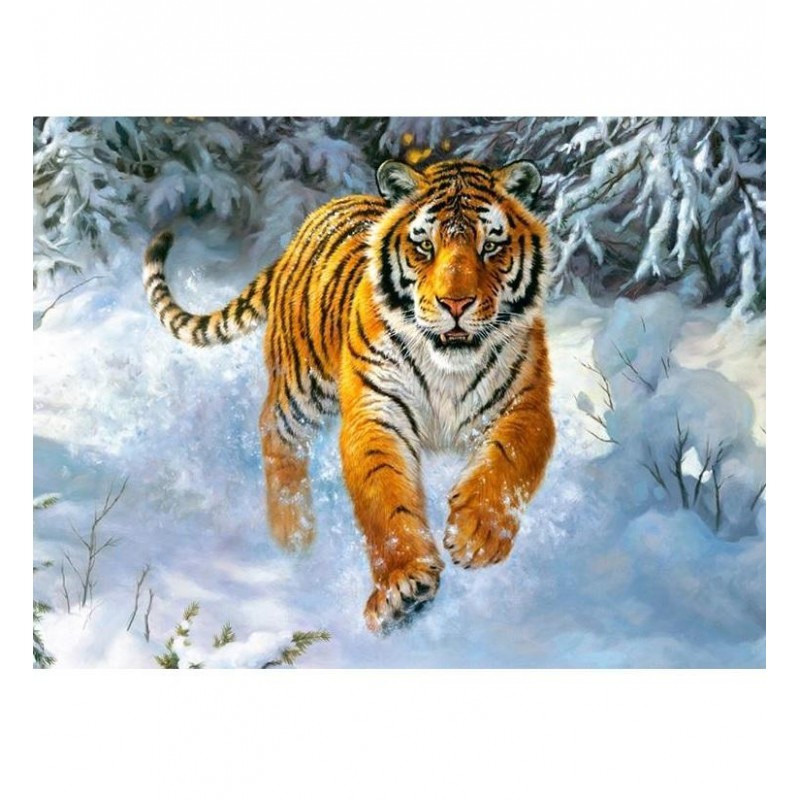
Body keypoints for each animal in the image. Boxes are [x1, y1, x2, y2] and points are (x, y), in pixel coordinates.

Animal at [143, 158, 556, 633]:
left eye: (491, 246)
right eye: (424, 247)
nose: (455, 304)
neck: (448, 367)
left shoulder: (526, 404)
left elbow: (507, 464)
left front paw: (477, 535)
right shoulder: (376, 411)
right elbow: (386, 498)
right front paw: (402, 589)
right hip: (300, 386)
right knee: (275, 433)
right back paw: (293, 536)